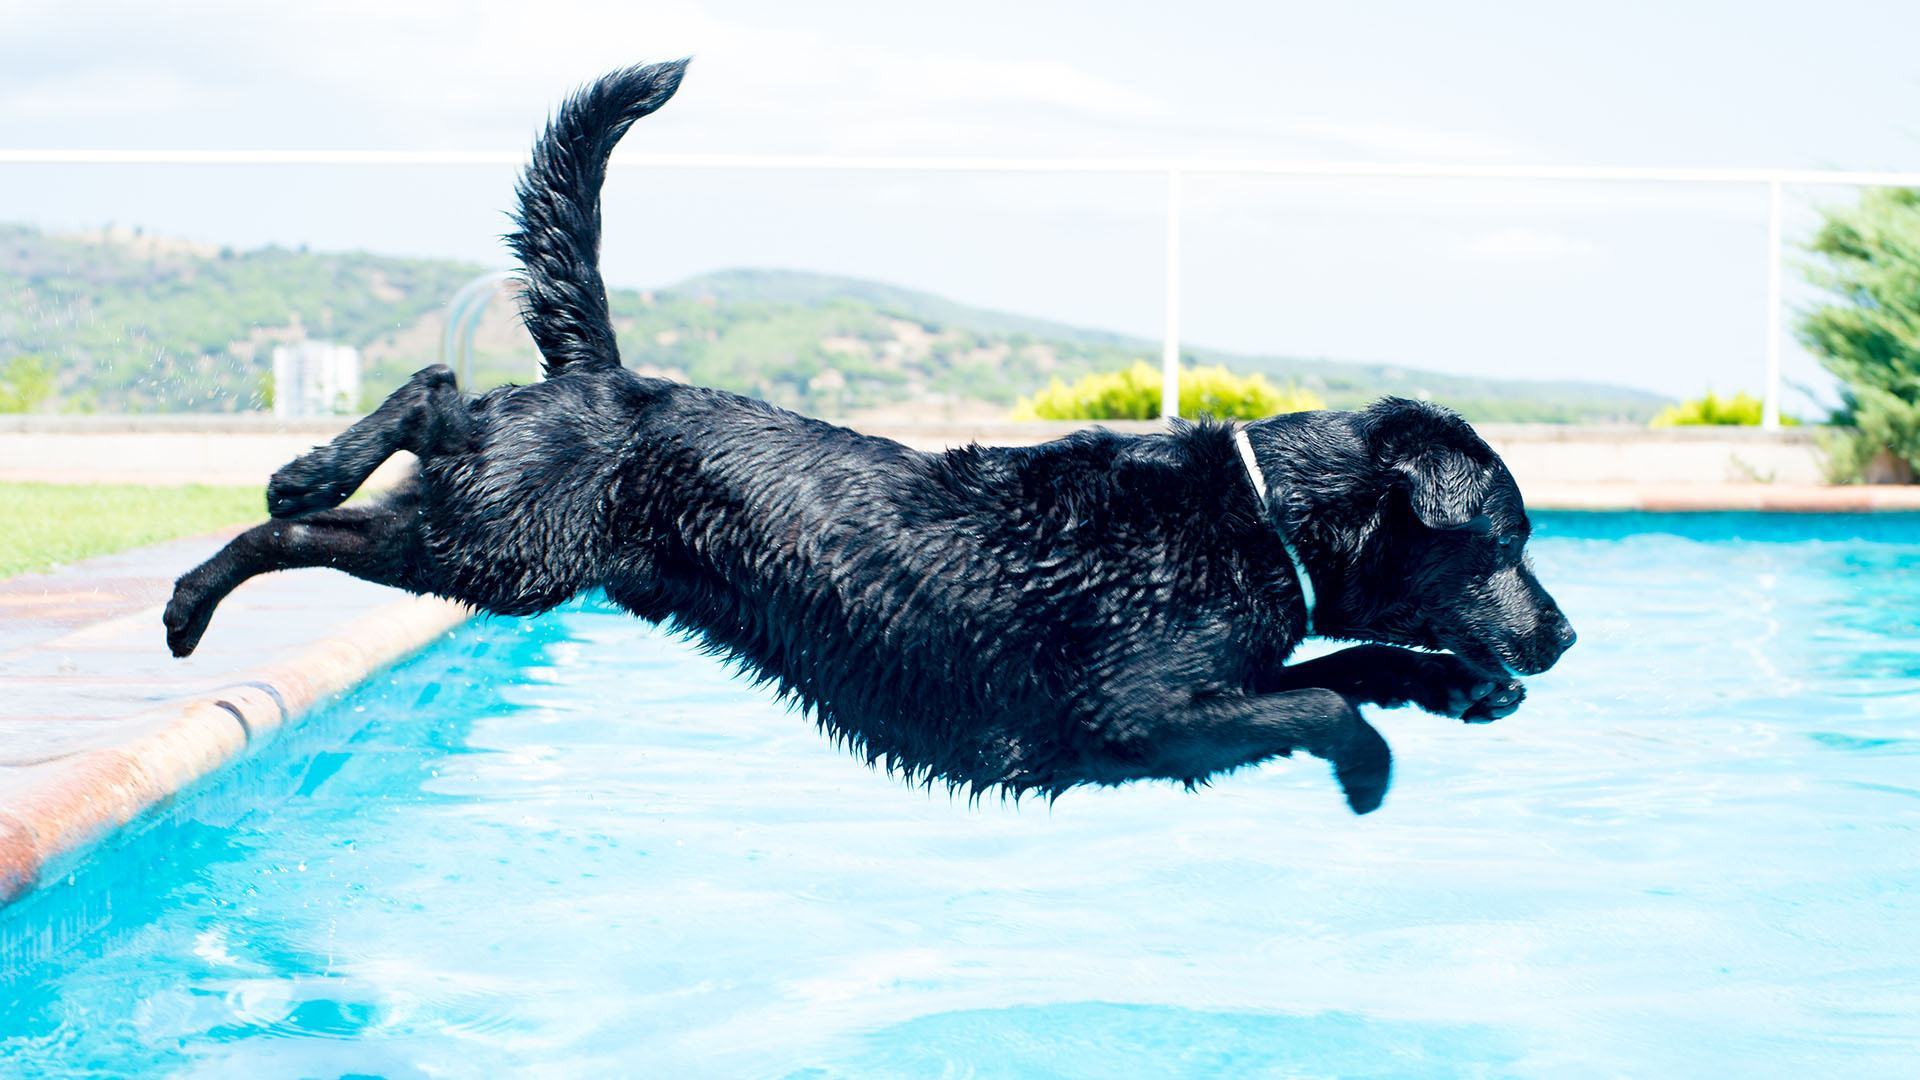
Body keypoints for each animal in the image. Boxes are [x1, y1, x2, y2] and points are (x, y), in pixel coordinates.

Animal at [168, 61, 1574, 807]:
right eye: (1505, 541)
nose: (1562, 636)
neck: (1257, 514)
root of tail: (606, 375)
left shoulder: (1199, 695)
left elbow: (1347, 661)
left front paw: (1458, 688)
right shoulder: (1129, 717)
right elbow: (1320, 698)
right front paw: (1372, 764)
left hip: (498, 536)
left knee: (422, 421)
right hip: (504, 552)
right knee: (398, 422)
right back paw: (220, 561)